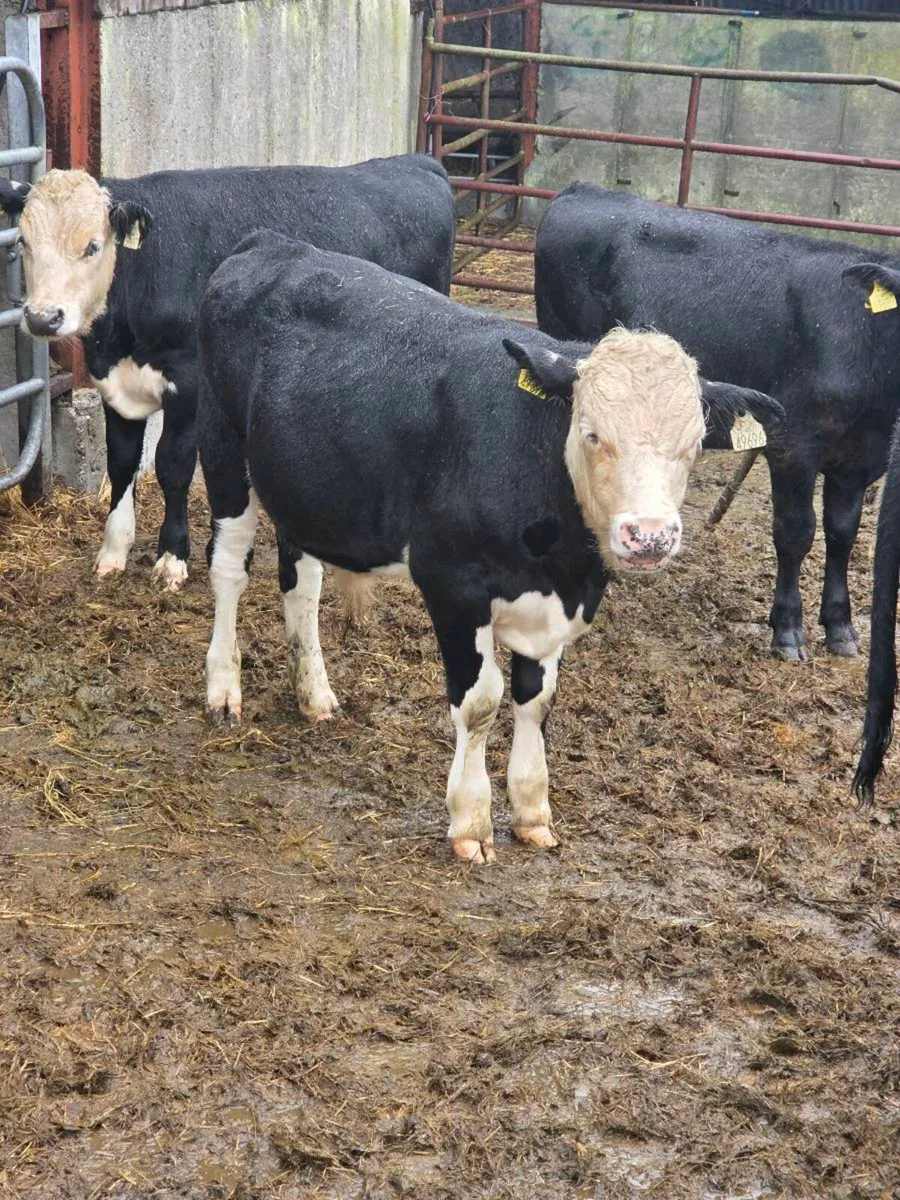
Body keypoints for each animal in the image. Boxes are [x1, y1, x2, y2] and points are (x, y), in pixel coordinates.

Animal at [0, 156, 455, 590]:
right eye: (23, 241)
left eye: (92, 246)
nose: (42, 318)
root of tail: (413, 162)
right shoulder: (113, 381)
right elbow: (122, 462)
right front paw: (113, 552)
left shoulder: (190, 385)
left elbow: (173, 465)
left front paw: (173, 557)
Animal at [196, 232, 783, 863]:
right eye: (592, 434)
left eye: (694, 443)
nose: (649, 536)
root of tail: (273, 242)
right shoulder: (453, 583)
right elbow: (481, 701)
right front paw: (471, 822)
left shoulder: (555, 604)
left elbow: (538, 698)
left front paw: (531, 810)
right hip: (223, 447)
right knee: (229, 569)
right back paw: (223, 688)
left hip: (303, 488)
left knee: (301, 585)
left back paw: (315, 695)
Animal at [534, 182, 900, 662]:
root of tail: (582, 190)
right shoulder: (793, 444)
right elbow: (796, 532)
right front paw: (788, 629)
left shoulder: (859, 458)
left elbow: (842, 535)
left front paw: (840, 626)